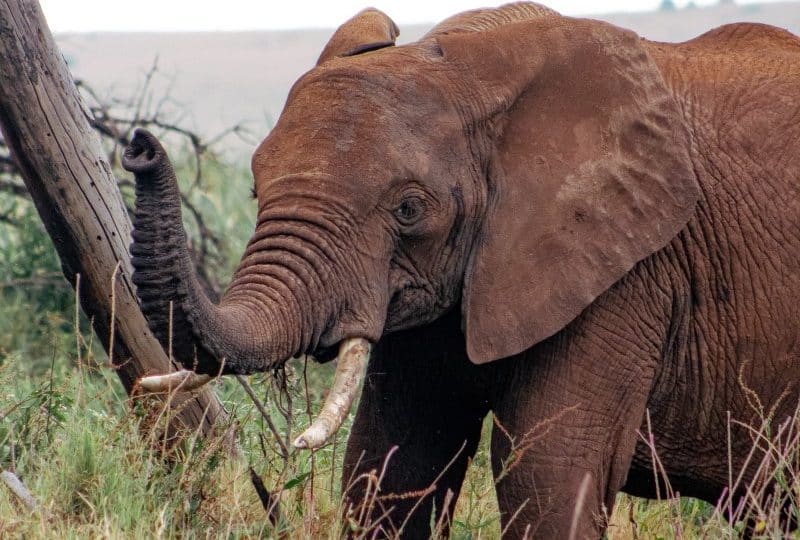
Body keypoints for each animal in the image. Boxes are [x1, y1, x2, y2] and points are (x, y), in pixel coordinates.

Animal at [123, 2, 800, 538]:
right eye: (256, 191)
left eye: (409, 208)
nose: (138, 146)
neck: (469, 68)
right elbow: (391, 463)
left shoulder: (628, 271)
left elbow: (549, 475)